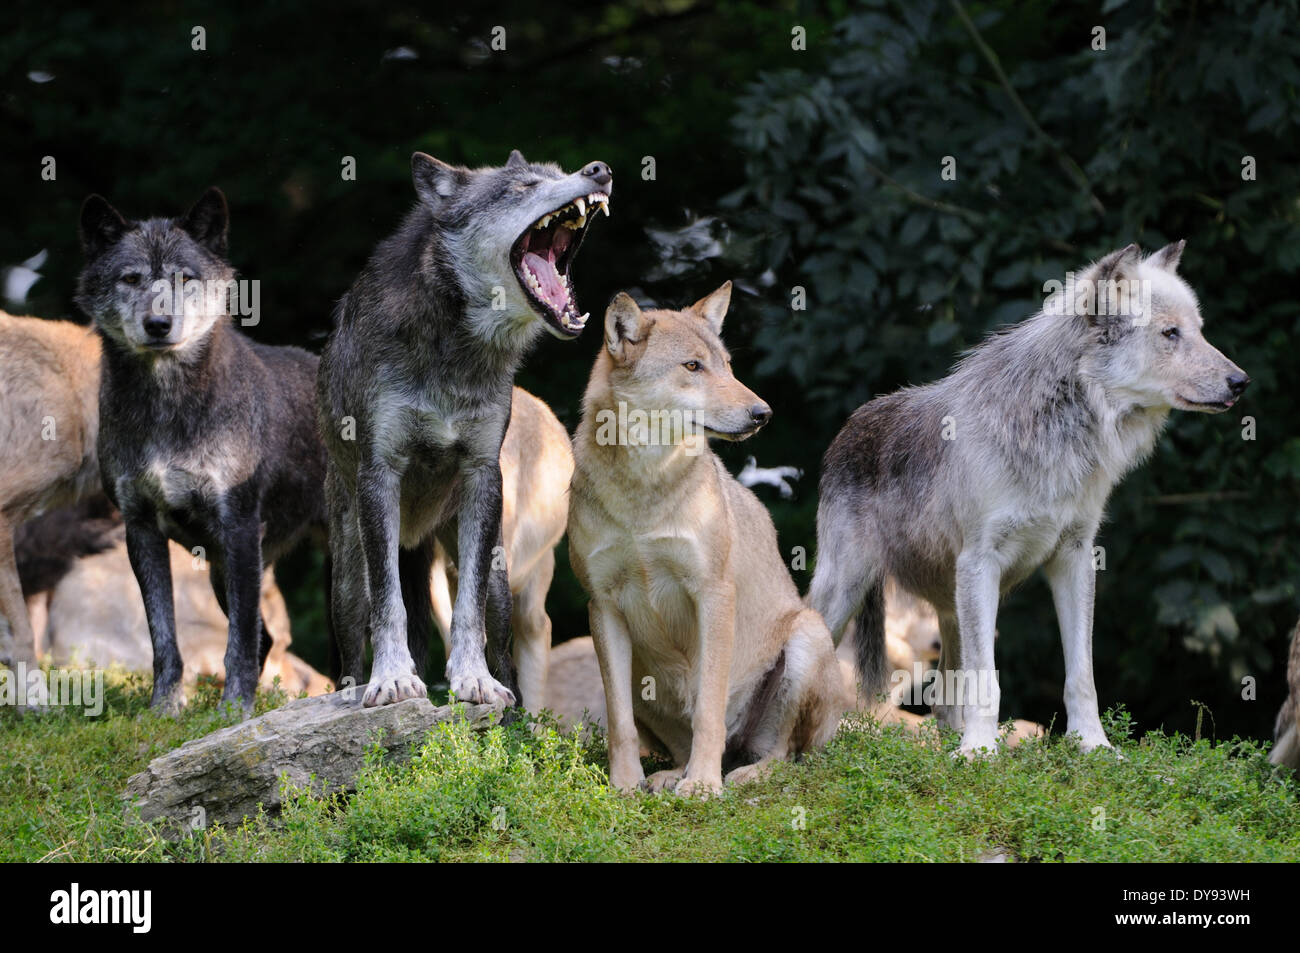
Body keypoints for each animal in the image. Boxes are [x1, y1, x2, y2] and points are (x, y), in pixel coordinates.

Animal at [76, 188, 328, 712]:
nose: (158, 324)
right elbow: (164, 639)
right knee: (266, 640)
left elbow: (239, 644)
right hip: (219, 574)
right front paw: (165, 709)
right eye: (131, 279)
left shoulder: (240, 527)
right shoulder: (140, 529)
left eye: (184, 278)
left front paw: (235, 711)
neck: (166, 407)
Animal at [320, 150, 611, 709]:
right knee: (352, 641)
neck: (456, 351)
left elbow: (468, 612)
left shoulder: (482, 474)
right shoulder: (379, 474)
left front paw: (473, 681)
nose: (599, 171)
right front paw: (393, 680)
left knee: (502, 638)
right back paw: (352, 691)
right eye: (522, 186)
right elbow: (388, 603)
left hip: (499, 571)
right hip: (348, 568)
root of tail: (417, 532)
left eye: (558, 172)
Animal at [568, 283, 850, 795]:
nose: (763, 414)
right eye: (692, 366)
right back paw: (669, 777)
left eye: (728, 365)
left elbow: (709, 709)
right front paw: (625, 787)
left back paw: (740, 774)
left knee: (784, 754)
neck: (644, 490)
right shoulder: (602, 606)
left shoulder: (714, 594)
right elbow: (618, 722)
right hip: (639, 674)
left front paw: (702, 786)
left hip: (807, 635)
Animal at [809, 242, 1249, 754]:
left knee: (943, 701)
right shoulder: (982, 561)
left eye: (1199, 330)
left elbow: (1082, 675)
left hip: (949, 609)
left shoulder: (1075, 556)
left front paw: (1092, 745)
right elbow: (989, 678)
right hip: (845, 592)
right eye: (1170, 333)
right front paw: (979, 753)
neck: (1059, 434)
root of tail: (852, 423)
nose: (1241, 381)